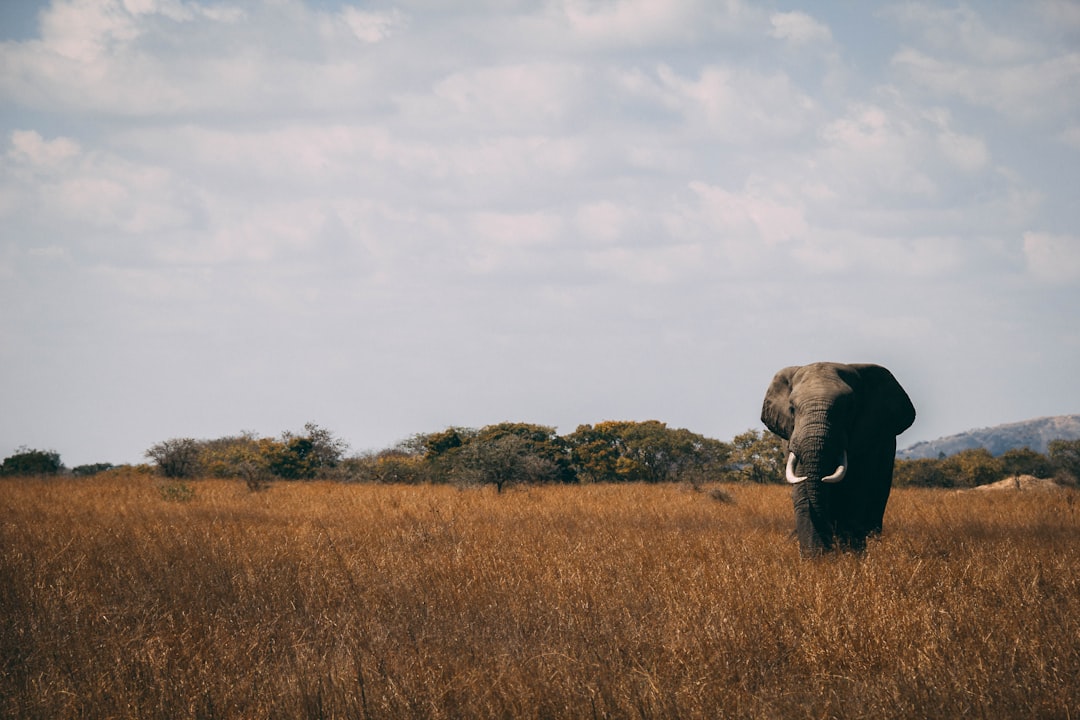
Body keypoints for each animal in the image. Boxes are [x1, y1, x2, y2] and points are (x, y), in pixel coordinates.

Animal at [764, 367, 915, 557]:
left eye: (849, 409)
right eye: (792, 409)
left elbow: (854, 494)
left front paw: (849, 556)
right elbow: (803, 492)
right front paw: (816, 559)